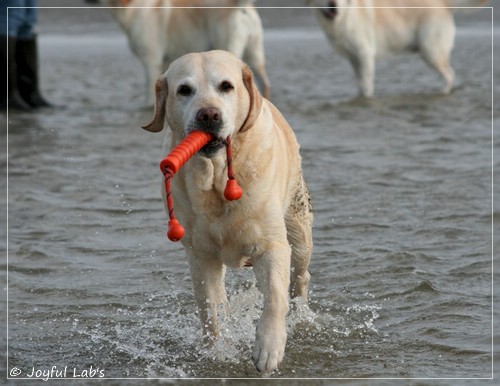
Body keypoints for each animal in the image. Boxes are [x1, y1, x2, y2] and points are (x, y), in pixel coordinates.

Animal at [142, 49, 312, 372]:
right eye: (184, 90)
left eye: (226, 86)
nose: (209, 115)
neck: (217, 178)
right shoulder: (200, 255)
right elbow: (210, 309)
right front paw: (216, 351)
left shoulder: (272, 245)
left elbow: (274, 296)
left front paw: (268, 348)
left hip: (298, 227)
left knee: (299, 277)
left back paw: (300, 315)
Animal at [306, 0, 490, 96]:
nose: (332, 4)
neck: (342, 19)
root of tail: (443, 3)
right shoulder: (354, 59)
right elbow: (360, 83)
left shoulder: (365, 55)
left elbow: (367, 85)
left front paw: (367, 99)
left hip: (431, 52)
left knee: (450, 75)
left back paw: (443, 92)